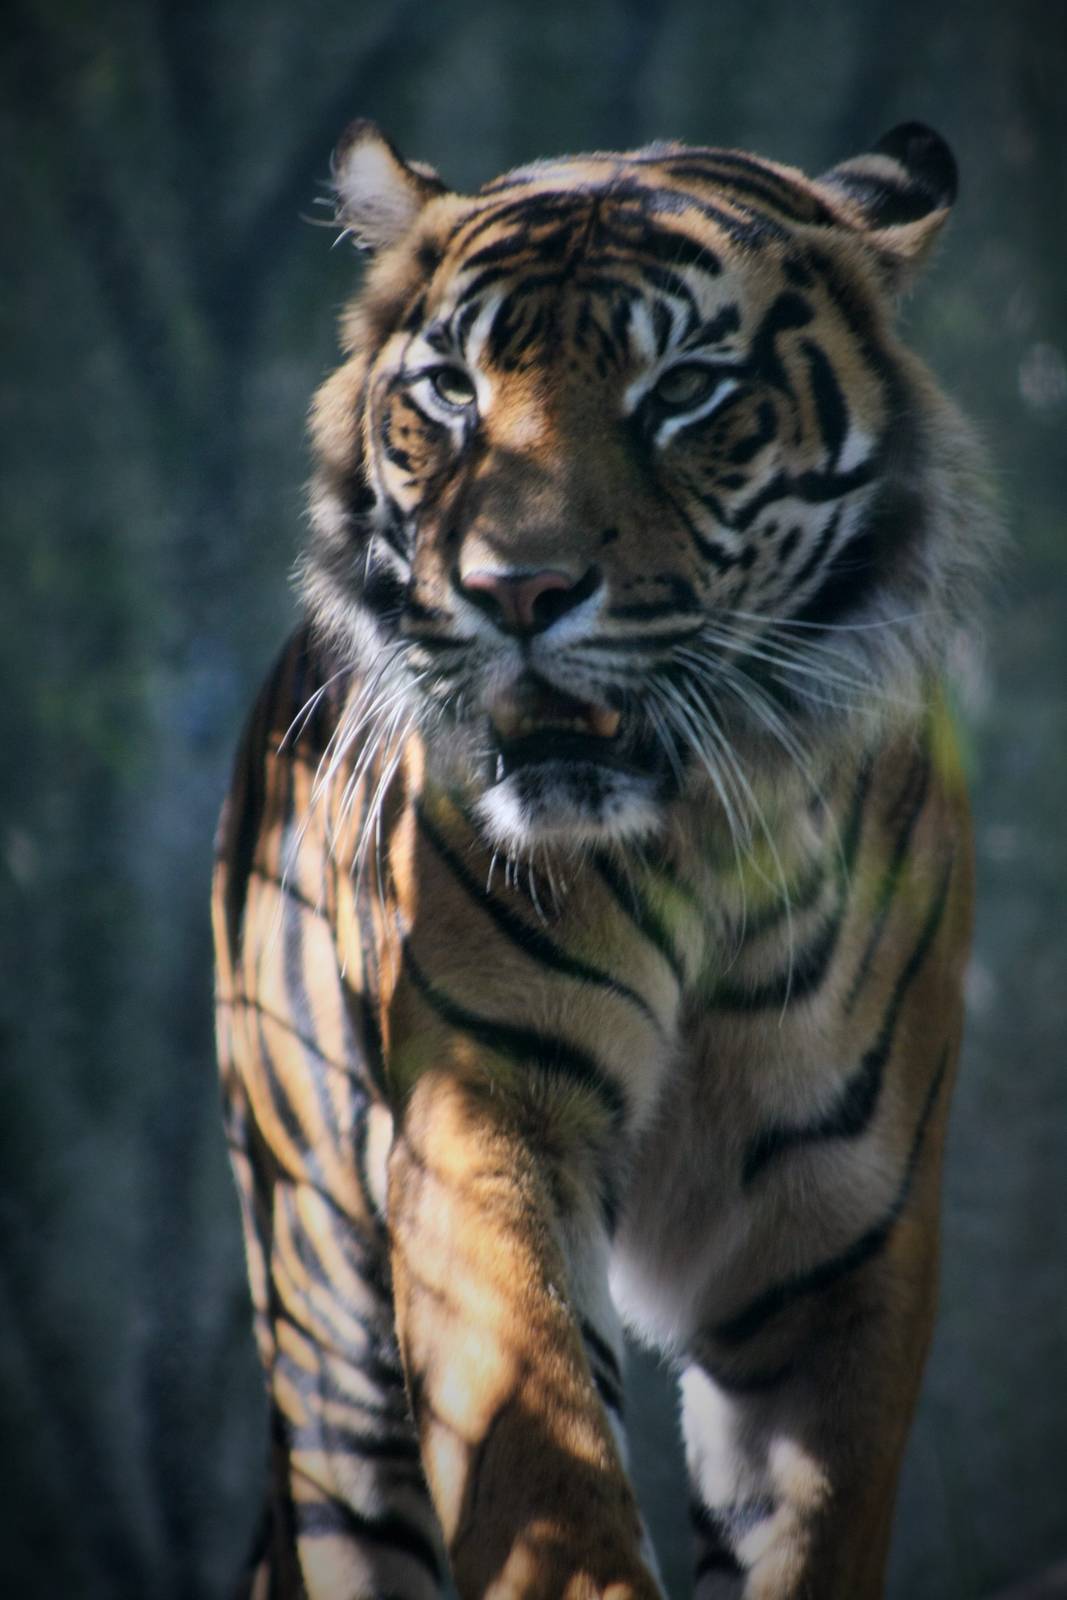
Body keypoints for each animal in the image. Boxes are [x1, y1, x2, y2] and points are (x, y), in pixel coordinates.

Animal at [212, 118, 998, 1599]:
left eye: (682, 391)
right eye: (452, 391)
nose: (513, 591)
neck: (691, 839)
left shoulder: (836, 1226)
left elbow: (810, 1527)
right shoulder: (481, 1109)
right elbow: (535, 1457)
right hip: (324, 1331)